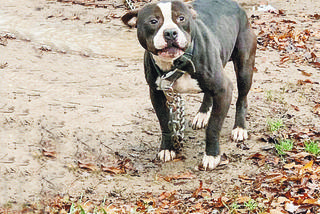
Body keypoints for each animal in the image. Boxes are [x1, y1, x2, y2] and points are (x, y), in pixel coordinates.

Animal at [121, 0, 256, 171]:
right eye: (153, 21)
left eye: (181, 18)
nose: (170, 33)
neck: (177, 63)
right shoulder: (156, 93)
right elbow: (164, 123)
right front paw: (167, 148)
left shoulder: (224, 89)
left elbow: (213, 127)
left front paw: (212, 155)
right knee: (208, 93)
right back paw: (203, 114)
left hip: (244, 68)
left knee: (242, 98)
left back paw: (239, 128)